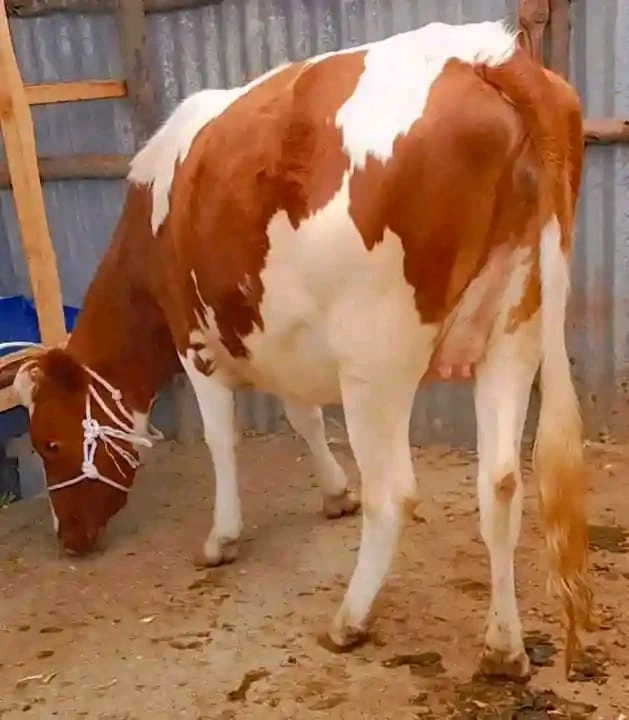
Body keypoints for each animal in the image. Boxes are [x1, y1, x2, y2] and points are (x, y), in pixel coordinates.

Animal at [8, 18, 594, 678]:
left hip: (375, 364)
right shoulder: (283, 341)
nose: (69, 538)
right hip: (513, 336)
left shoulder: (194, 341)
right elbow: (304, 416)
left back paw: (349, 621)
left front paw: (222, 538)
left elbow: (222, 440)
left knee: (395, 495)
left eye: (49, 443)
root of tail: (487, 52)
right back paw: (503, 648)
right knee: (500, 484)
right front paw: (335, 492)